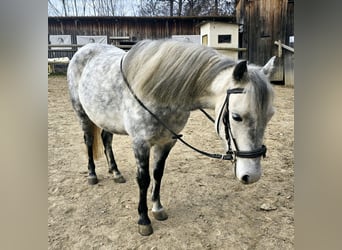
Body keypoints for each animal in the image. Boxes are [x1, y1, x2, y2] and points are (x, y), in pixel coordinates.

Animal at [67, 40, 276, 235]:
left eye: (270, 116)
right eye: (236, 116)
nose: (252, 176)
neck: (157, 92)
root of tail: (84, 49)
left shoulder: (168, 141)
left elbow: (157, 174)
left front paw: (157, 208)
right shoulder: (140, 143)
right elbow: (143, 180)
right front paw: (144, 220)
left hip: (104, 118)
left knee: (106, 139)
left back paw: (115, 172)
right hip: (82, 113)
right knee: (89, 141)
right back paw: (92, 175)